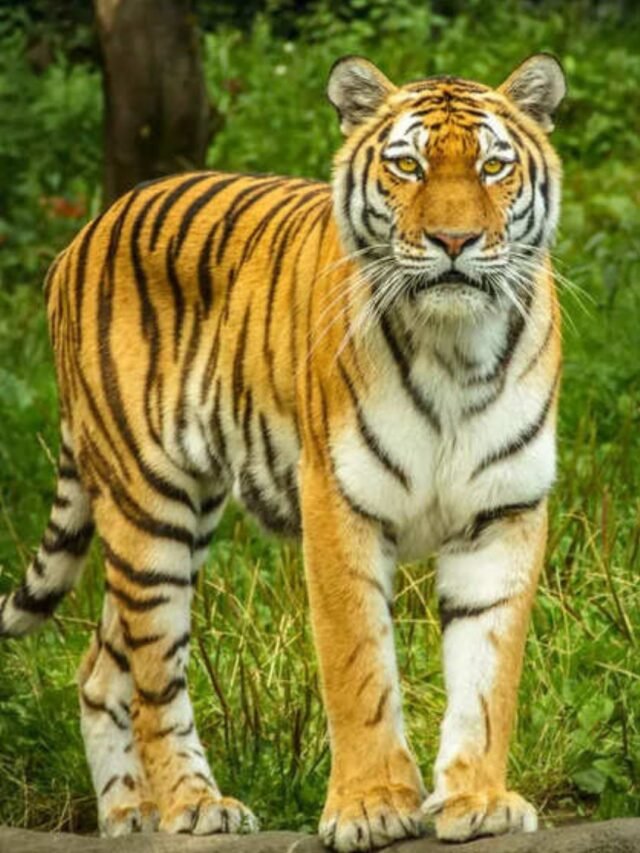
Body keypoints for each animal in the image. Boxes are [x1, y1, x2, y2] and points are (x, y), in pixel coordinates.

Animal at [0, 53, 565, 850]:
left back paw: (126, 815)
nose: (454, 242)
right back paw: (193, 805)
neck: (455, 349)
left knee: (101, 668)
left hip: (170, 520)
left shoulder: (504, 511)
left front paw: (478, 799)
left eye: (493, 166)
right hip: (149, 507)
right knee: (153, 675)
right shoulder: (339, 502)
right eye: (408, 165)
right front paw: (371, 805)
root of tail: (86, 231)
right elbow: (358, 666)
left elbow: (489, 672)